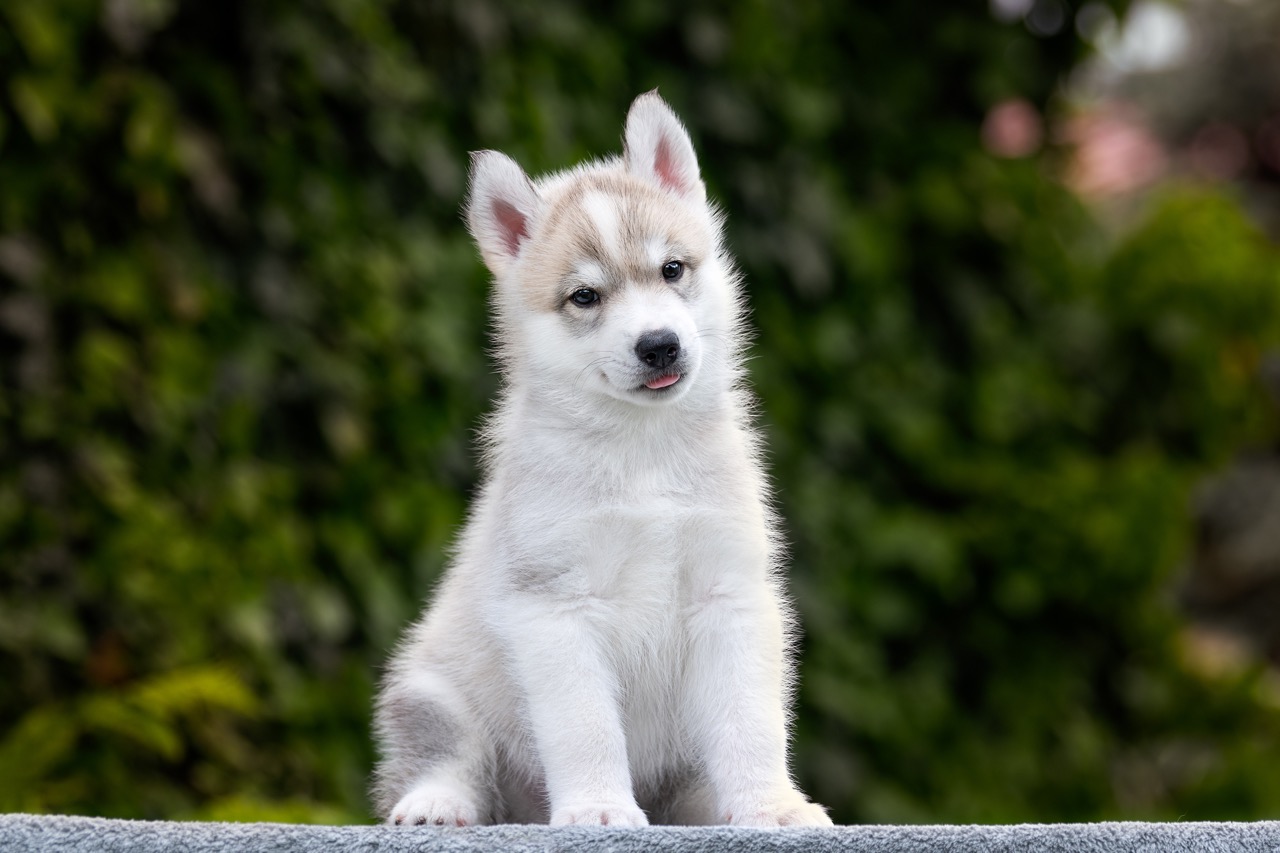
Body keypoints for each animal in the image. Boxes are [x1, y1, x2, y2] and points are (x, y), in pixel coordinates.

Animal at [373, 91, 829, 824]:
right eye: (584, 296)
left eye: (672, 269)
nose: (659, 344)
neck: (643, 451)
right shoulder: (554, 605)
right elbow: (584, 725)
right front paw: (598, 808)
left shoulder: (728, 592)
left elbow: (750, 722)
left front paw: (771, 806)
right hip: (431, 685)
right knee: (446, 753)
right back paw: (437, 802)